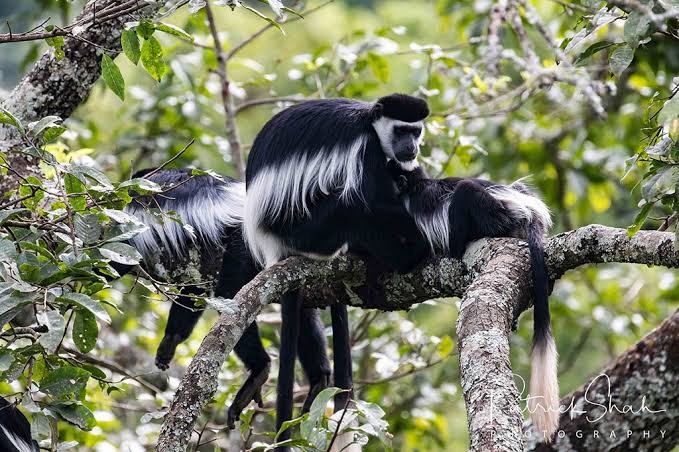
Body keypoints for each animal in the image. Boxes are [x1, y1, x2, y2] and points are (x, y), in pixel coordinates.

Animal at [243, 93, 431, 448]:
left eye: (416, 131)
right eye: (401, 131)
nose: (411, 148)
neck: (370, 125)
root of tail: (272, 241)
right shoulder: (365, 151)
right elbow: (376, 199)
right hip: (308, 228)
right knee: (352, 204)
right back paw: (403, 257)